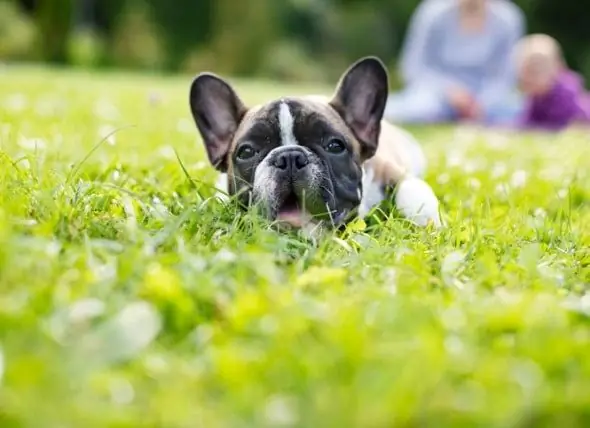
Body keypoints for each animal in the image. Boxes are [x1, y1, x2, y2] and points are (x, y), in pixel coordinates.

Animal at [190, 56, 444, 232]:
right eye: (247, 152)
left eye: (335, 146)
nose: (289, 157)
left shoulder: (391, 171)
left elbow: (412, 188)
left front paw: (427, 222)